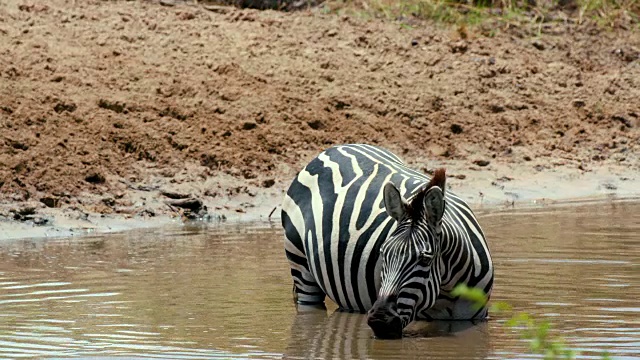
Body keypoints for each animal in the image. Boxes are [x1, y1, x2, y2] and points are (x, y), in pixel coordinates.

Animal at [282, 143, 496, 338]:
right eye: (383, 253)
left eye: (425, 259)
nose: (380, 321)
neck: (449, 290)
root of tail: (334, 149)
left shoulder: (476, 317)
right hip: (301, 266)